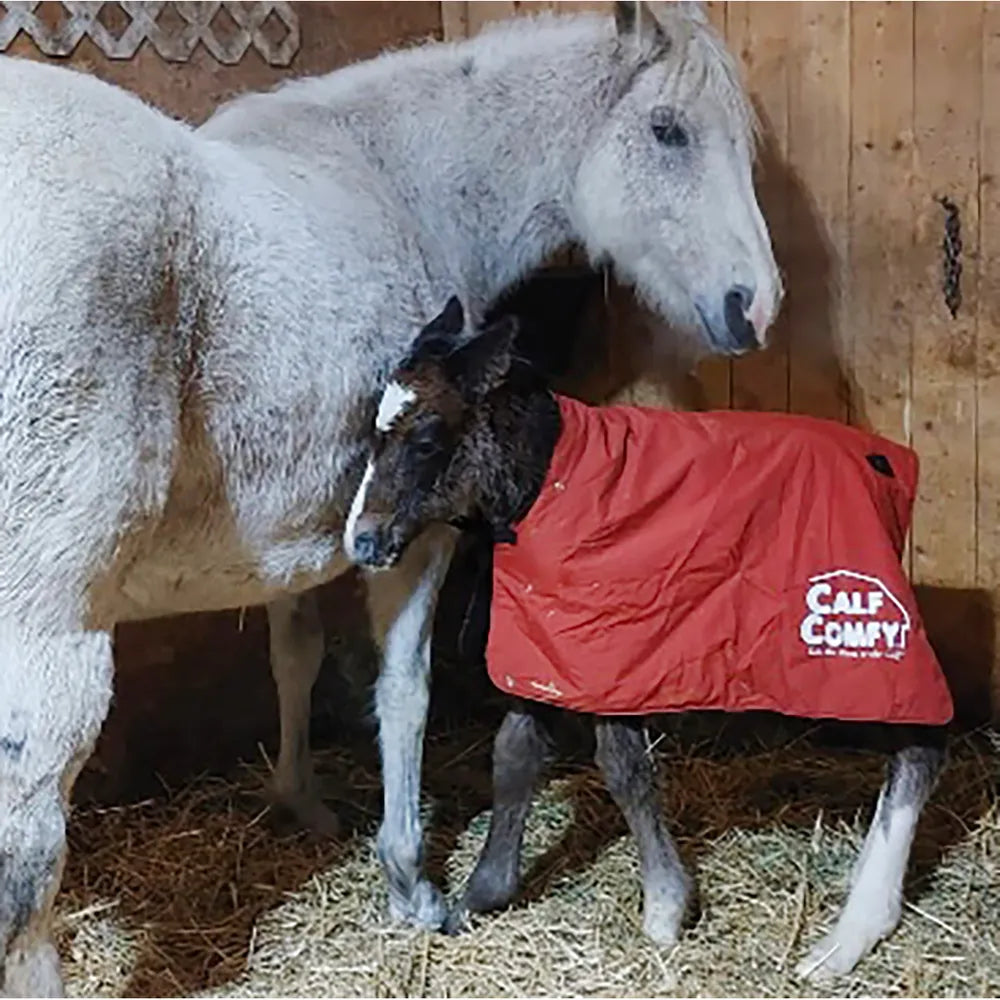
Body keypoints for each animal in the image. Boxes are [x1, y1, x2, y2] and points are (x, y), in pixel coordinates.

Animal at [0, 3, 780, 993]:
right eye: (668, 130)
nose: (754, 305)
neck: (402, 188)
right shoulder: (415, 535)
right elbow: (403, 691)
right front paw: (412, 882)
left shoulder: (298, 532)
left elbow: (294, 656)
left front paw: (301, 800)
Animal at [343, 298, 948, 981]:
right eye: (371, 435)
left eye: (425, 440)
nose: (363, 542)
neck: (552, 483)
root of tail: (888, 466)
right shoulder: (544, 650)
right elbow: (514, 754)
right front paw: (480, 896)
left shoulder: (610, 654)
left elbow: (622, 767)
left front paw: (665, 908)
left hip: (860, 643)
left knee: (921, 746)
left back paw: (849, 936)